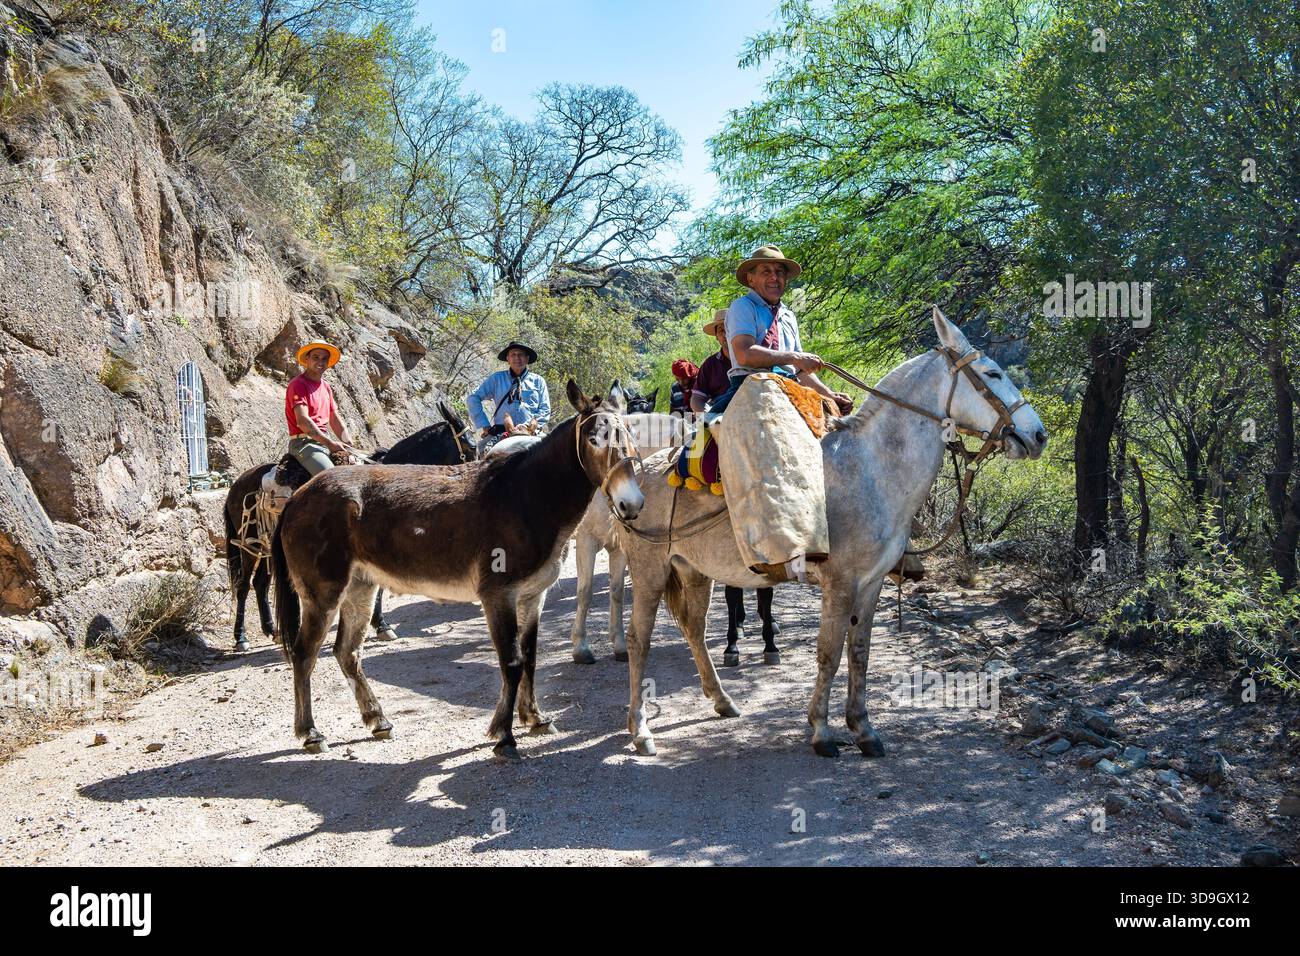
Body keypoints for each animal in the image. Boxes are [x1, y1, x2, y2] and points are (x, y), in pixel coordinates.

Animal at [222, 398, 472, 651]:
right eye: (470, 446)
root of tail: (238, 483)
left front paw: (380, 625)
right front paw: (381, 625)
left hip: (266, 547)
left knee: (260, 583)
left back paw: (273, 630)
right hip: (249, 546)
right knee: (243, 586)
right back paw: (241, 638)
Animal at [271, 381, 646, 759]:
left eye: (631, 435)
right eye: (594, 440)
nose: (631, 504)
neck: (526, 498)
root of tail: (298, 497)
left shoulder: (532, 596)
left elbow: (529, 658)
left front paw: (534, 718)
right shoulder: (498, 596)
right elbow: (511, 662)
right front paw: (504, 736)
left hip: (360, 587)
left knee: (347, 652)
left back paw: (377, 720)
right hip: (323, 593)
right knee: (304, 653)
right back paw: (310, 733)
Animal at [612, 309, 1049, 757]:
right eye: (992, 373)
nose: (1038, 435)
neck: (869, 470)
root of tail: (637, 479)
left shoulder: (871, 583)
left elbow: (859, 652)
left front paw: (864, 729)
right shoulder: (839, 583)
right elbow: (829, 653)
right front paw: (822, 731)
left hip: (696, 572)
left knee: (695, 631)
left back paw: (722, 701)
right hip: (649, 572)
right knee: (638, 640)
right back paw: (641, 731)